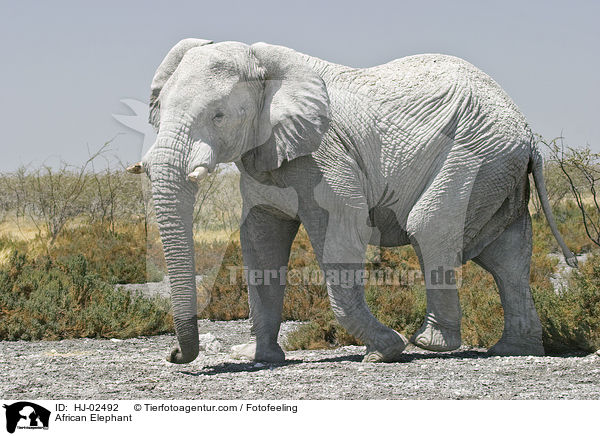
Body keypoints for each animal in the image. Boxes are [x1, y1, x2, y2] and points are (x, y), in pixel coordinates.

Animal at [127, 37, 576, 364]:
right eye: (159, 110)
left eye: (218, 116)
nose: (173, 354)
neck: (262, 62)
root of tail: (528, 133)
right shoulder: (263, 159)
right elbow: (260, 241)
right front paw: (261, 358)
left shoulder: (324, 154)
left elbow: (342, 229)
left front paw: (386, 351)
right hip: (498, 168)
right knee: (507, 256)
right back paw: (515, 349)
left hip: (475, 155)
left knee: (430, 229)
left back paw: (428, 344)